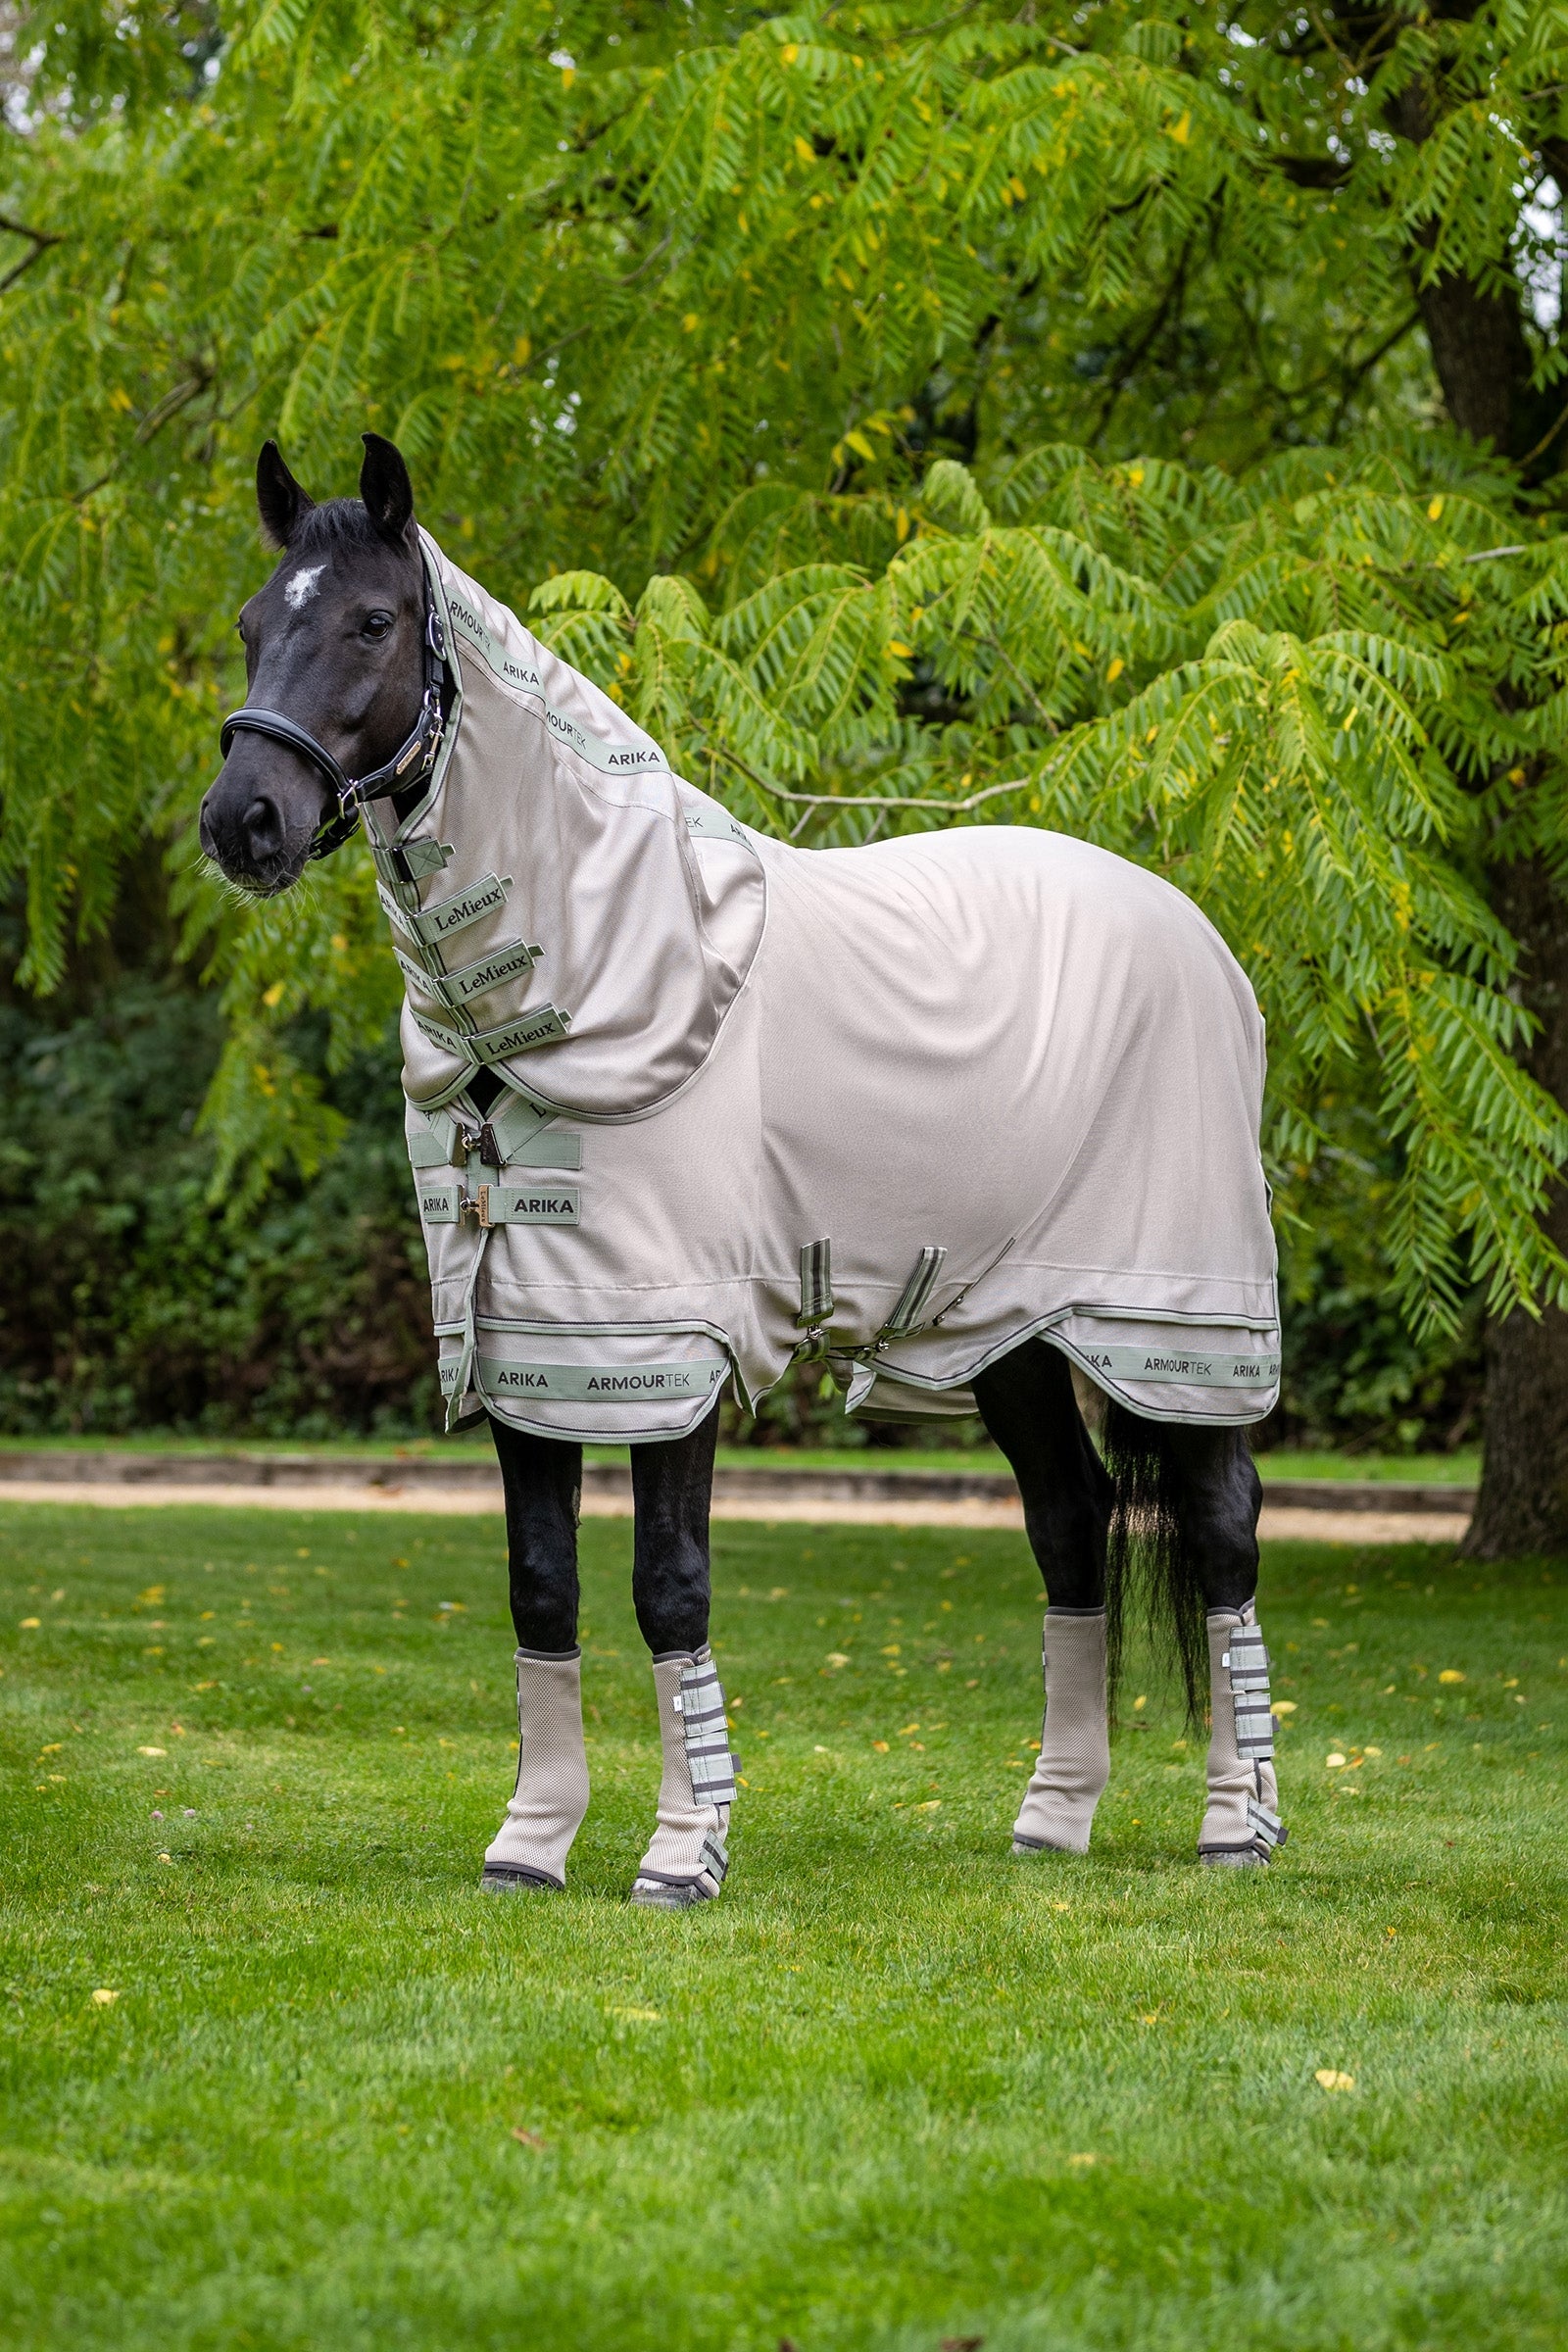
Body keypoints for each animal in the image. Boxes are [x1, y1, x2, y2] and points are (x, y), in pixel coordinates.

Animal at [198, 433, 1287, 1906]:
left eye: (371, 620)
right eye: (255, 624)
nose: (243, 820)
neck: (611, 967)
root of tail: (1194, 935)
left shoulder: (671, 1345)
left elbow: (669, 1581)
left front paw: (681, 1854)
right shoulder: (532, 1343)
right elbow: (541, 1583)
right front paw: (530, 1845)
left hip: (1180, 1329)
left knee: (1221, 1531)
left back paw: (1238, 1828)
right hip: (1010, 1330)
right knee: (1069, 1523)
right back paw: (1051, 1822)